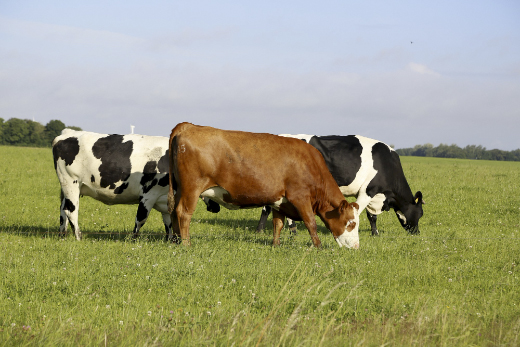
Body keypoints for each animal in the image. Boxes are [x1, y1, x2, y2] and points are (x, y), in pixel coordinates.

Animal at [168, 123, 362, 249]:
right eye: (351, 223)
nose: (356, 246)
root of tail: (189, 126)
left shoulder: (280, 201)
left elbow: (278, 224)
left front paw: (275, 245)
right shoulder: (300, 197)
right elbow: (311, 223)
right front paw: (318, 246)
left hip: (179, 189)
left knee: (173, 211)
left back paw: (175, 241)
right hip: (192, 188)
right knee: (183, 213)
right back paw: (186, 244)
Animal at [255, 135, 422, 235]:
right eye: (420, 214)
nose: (417, 233)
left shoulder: (372, 194)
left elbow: (372, 217)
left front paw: (375, 233)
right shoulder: (368, 191)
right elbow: (358, 212)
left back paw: (288, 231)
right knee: (267, 208)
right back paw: (263, 230)